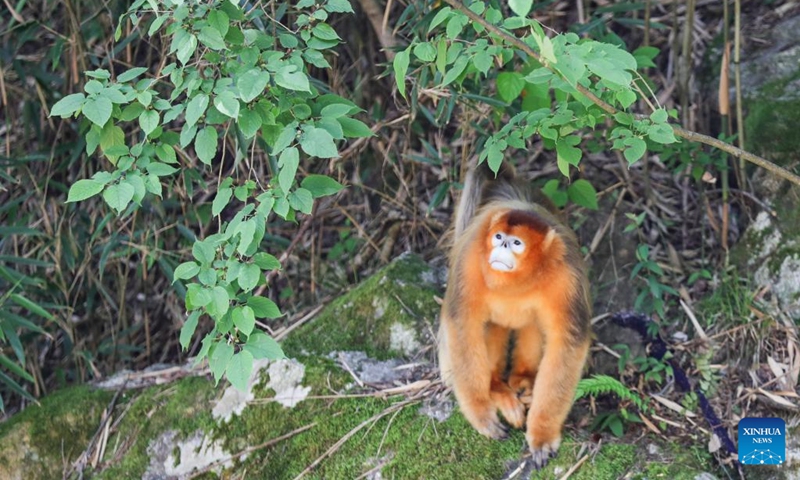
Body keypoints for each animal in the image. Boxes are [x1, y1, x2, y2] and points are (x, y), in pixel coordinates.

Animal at [438, 160, 591, 468]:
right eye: (498, 237)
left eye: (516, 243)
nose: (501, 247)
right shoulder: (470, 257)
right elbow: (462, 325)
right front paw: (481, 416)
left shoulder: (568, 275)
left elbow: (567, 344)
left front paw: (542, 434)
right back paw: (498, 388)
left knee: (534, 325)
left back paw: (523, 382)